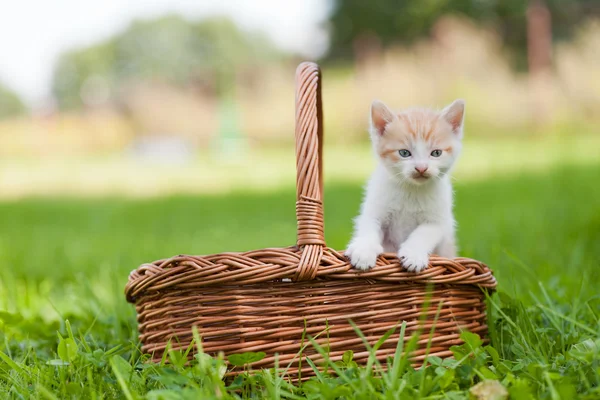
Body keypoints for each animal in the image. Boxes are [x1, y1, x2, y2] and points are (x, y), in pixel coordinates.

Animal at [344, 98, 466, 272]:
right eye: (404, 153)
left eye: (436, 153)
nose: (421, 168)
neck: (411, 190)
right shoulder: (374, 211)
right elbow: (369, 227)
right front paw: (363, 251)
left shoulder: (440, 221)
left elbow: (423, 234)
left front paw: (414, 255)